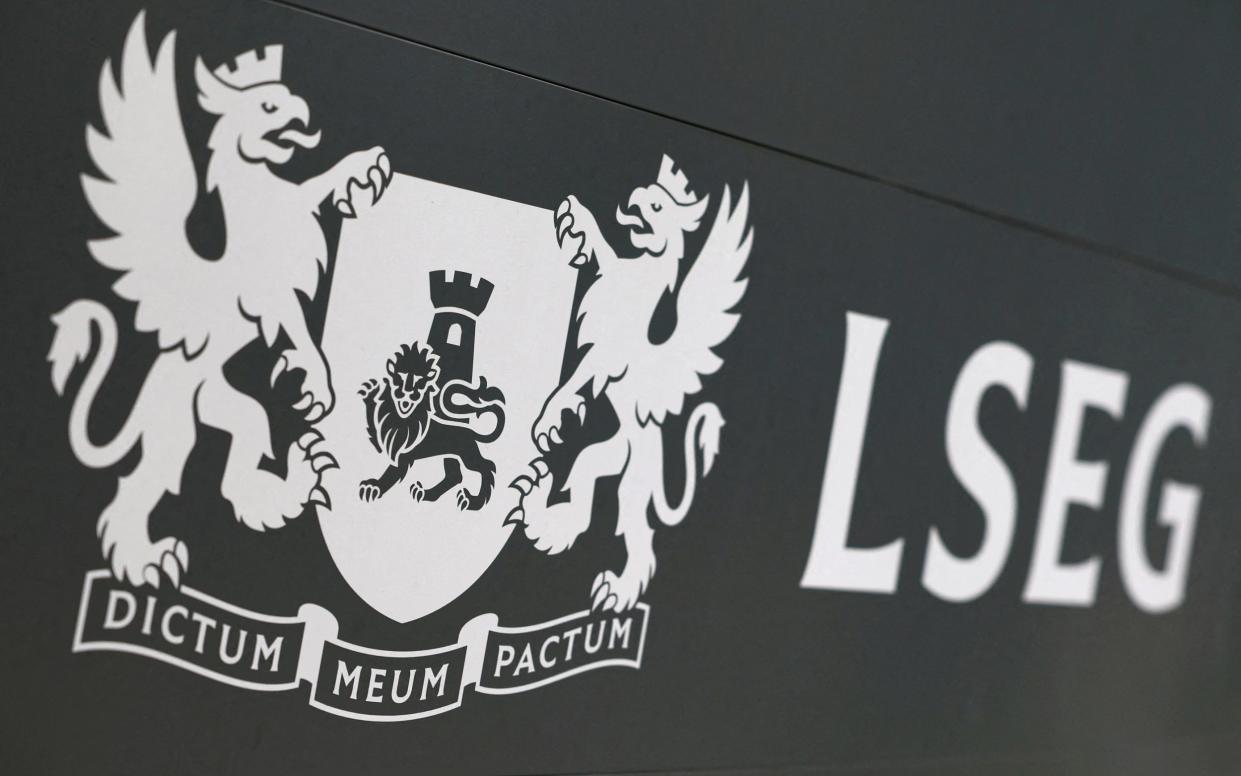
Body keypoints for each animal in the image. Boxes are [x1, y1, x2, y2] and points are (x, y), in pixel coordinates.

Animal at [48, 13, 392, 586]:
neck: (259, 192)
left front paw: (362, 168)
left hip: (223, 404)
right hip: (173, 426)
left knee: (245, 453)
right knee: (139, 487)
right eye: (269, 106)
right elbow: (300, 330)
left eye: (288, 98)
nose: (302, 111)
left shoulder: (294, 211)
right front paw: (318, 382)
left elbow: (317, 184)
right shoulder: (273, 292)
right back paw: (147, 558)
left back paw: (292, 486)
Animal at [506, 152, 754, 610]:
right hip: (602, 456)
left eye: (657, 206)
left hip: (632, 484)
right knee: (580, 493)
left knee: (639, 536)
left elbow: (574, 381)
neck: (642, 275)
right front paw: (579, 218)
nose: (636, 196)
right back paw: (539, 512)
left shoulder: (604, 355)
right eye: (647, 196)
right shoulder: (615, 274)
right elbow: (604, 250)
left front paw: (551, 416)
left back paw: (617, 587)